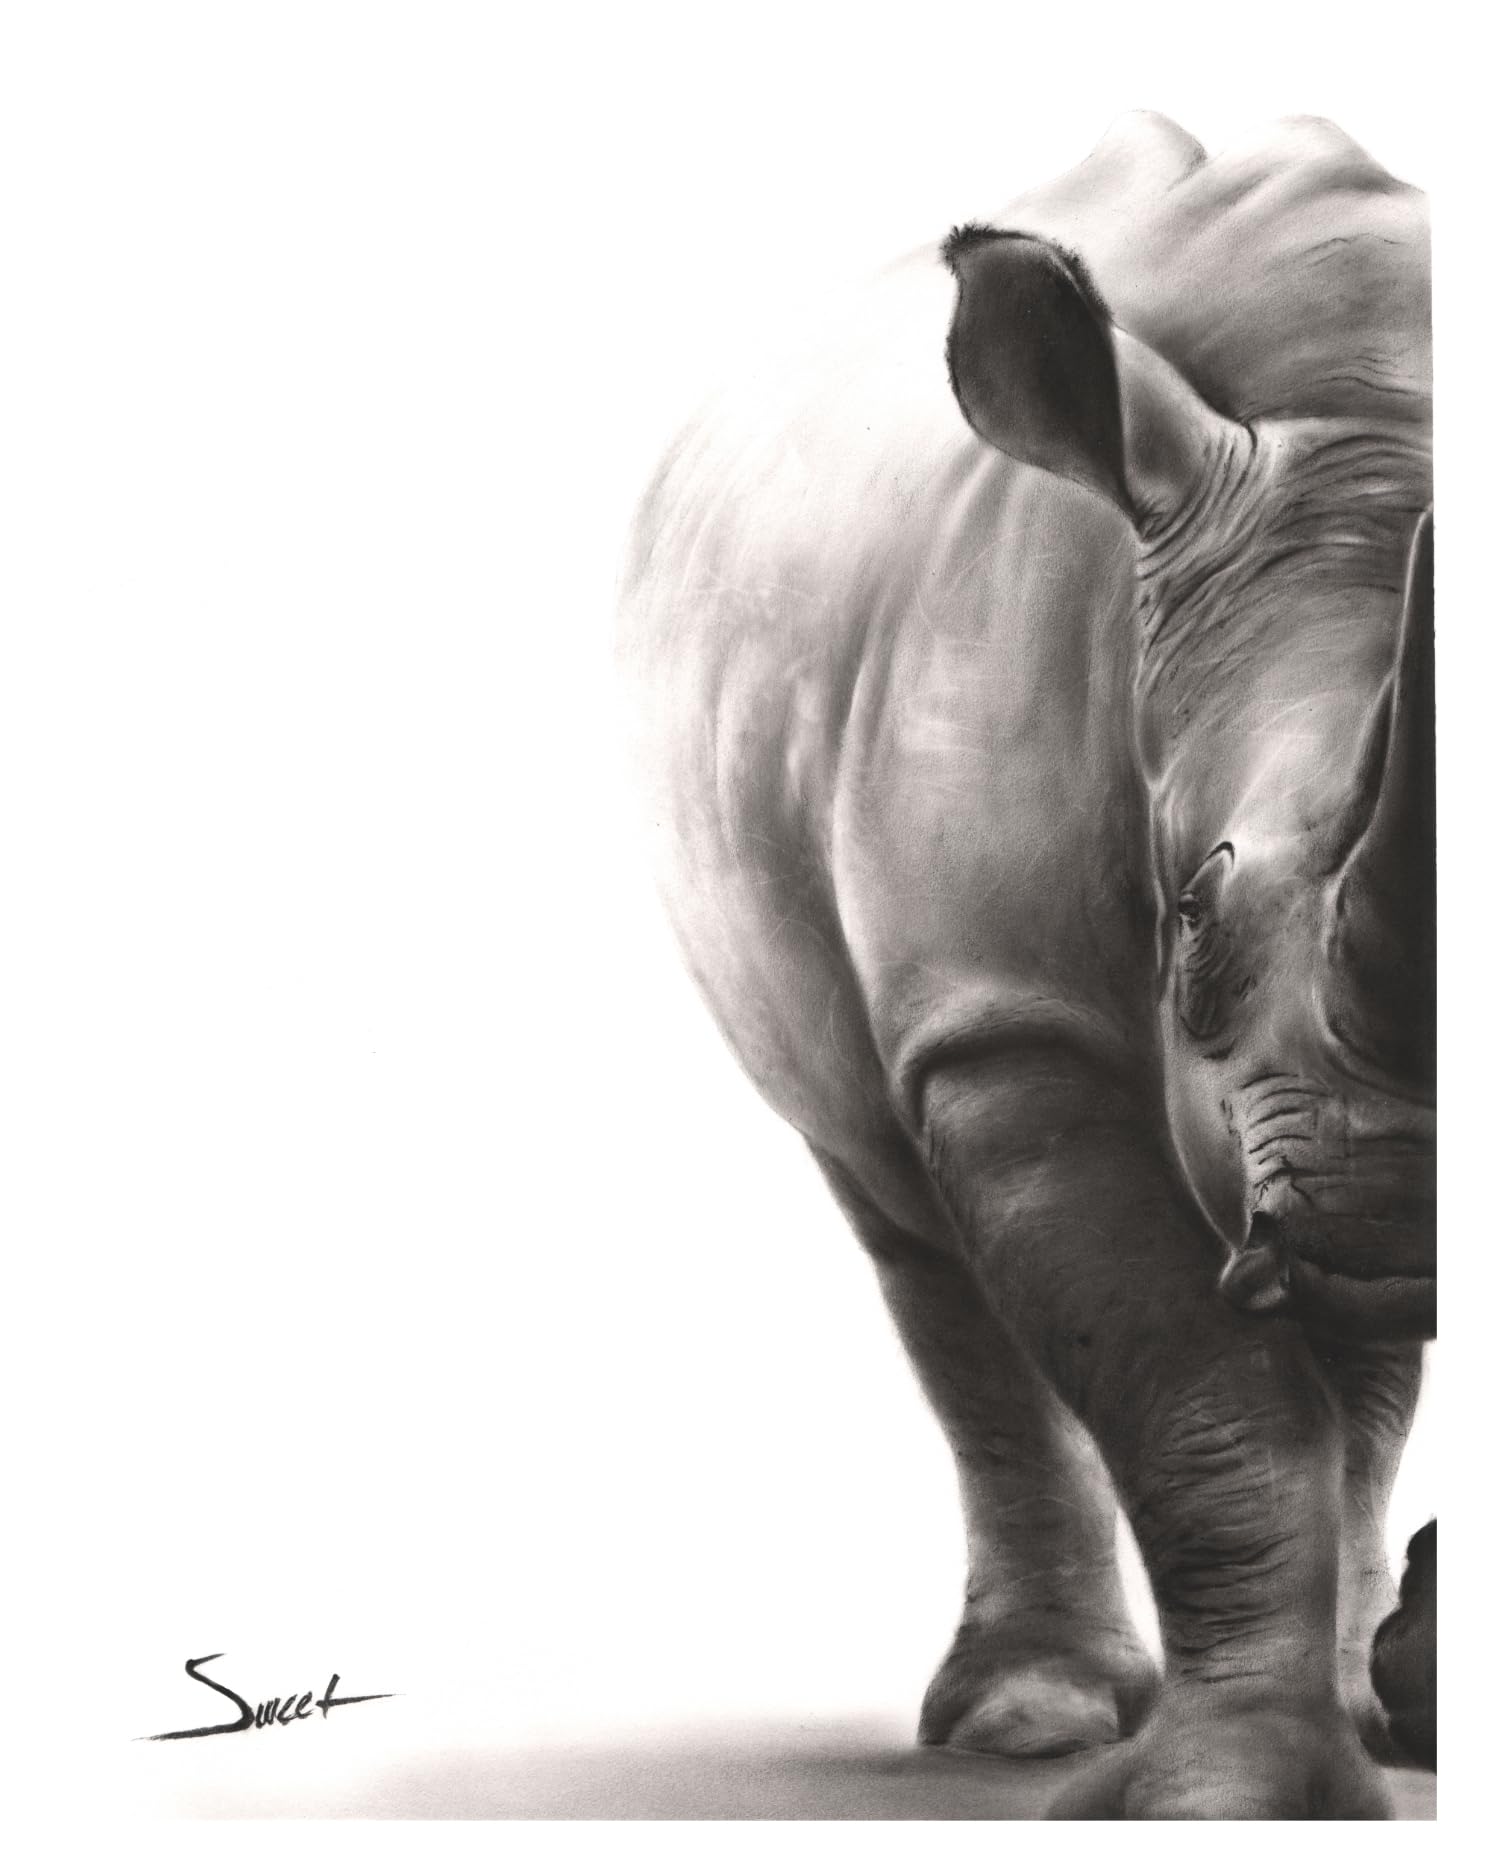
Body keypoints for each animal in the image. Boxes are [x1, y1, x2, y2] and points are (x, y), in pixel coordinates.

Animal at [618, 114, 1434, 1819]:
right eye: (1188, 911)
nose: (1391, 1213)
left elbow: (1315, 1387)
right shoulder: (1009, 1021)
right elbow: (1207, 1395)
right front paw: (1232, 1800)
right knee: (908, 1228)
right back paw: (1030, 1722)